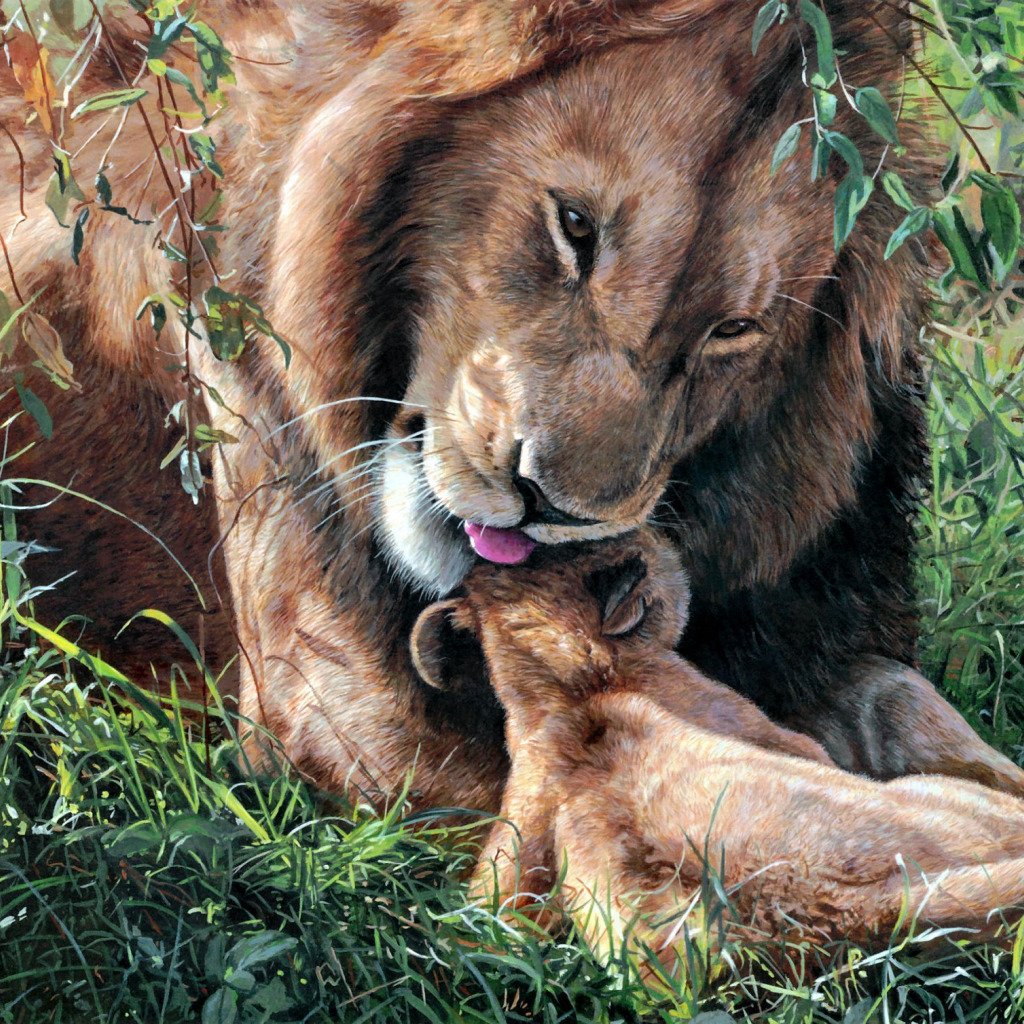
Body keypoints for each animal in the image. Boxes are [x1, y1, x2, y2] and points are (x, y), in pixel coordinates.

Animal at [409, 530, 1024, 963]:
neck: (569, 691)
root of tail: (847, 915)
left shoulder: (512, 856)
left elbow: (490, 925)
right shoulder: (764, 728)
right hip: (945, 793)